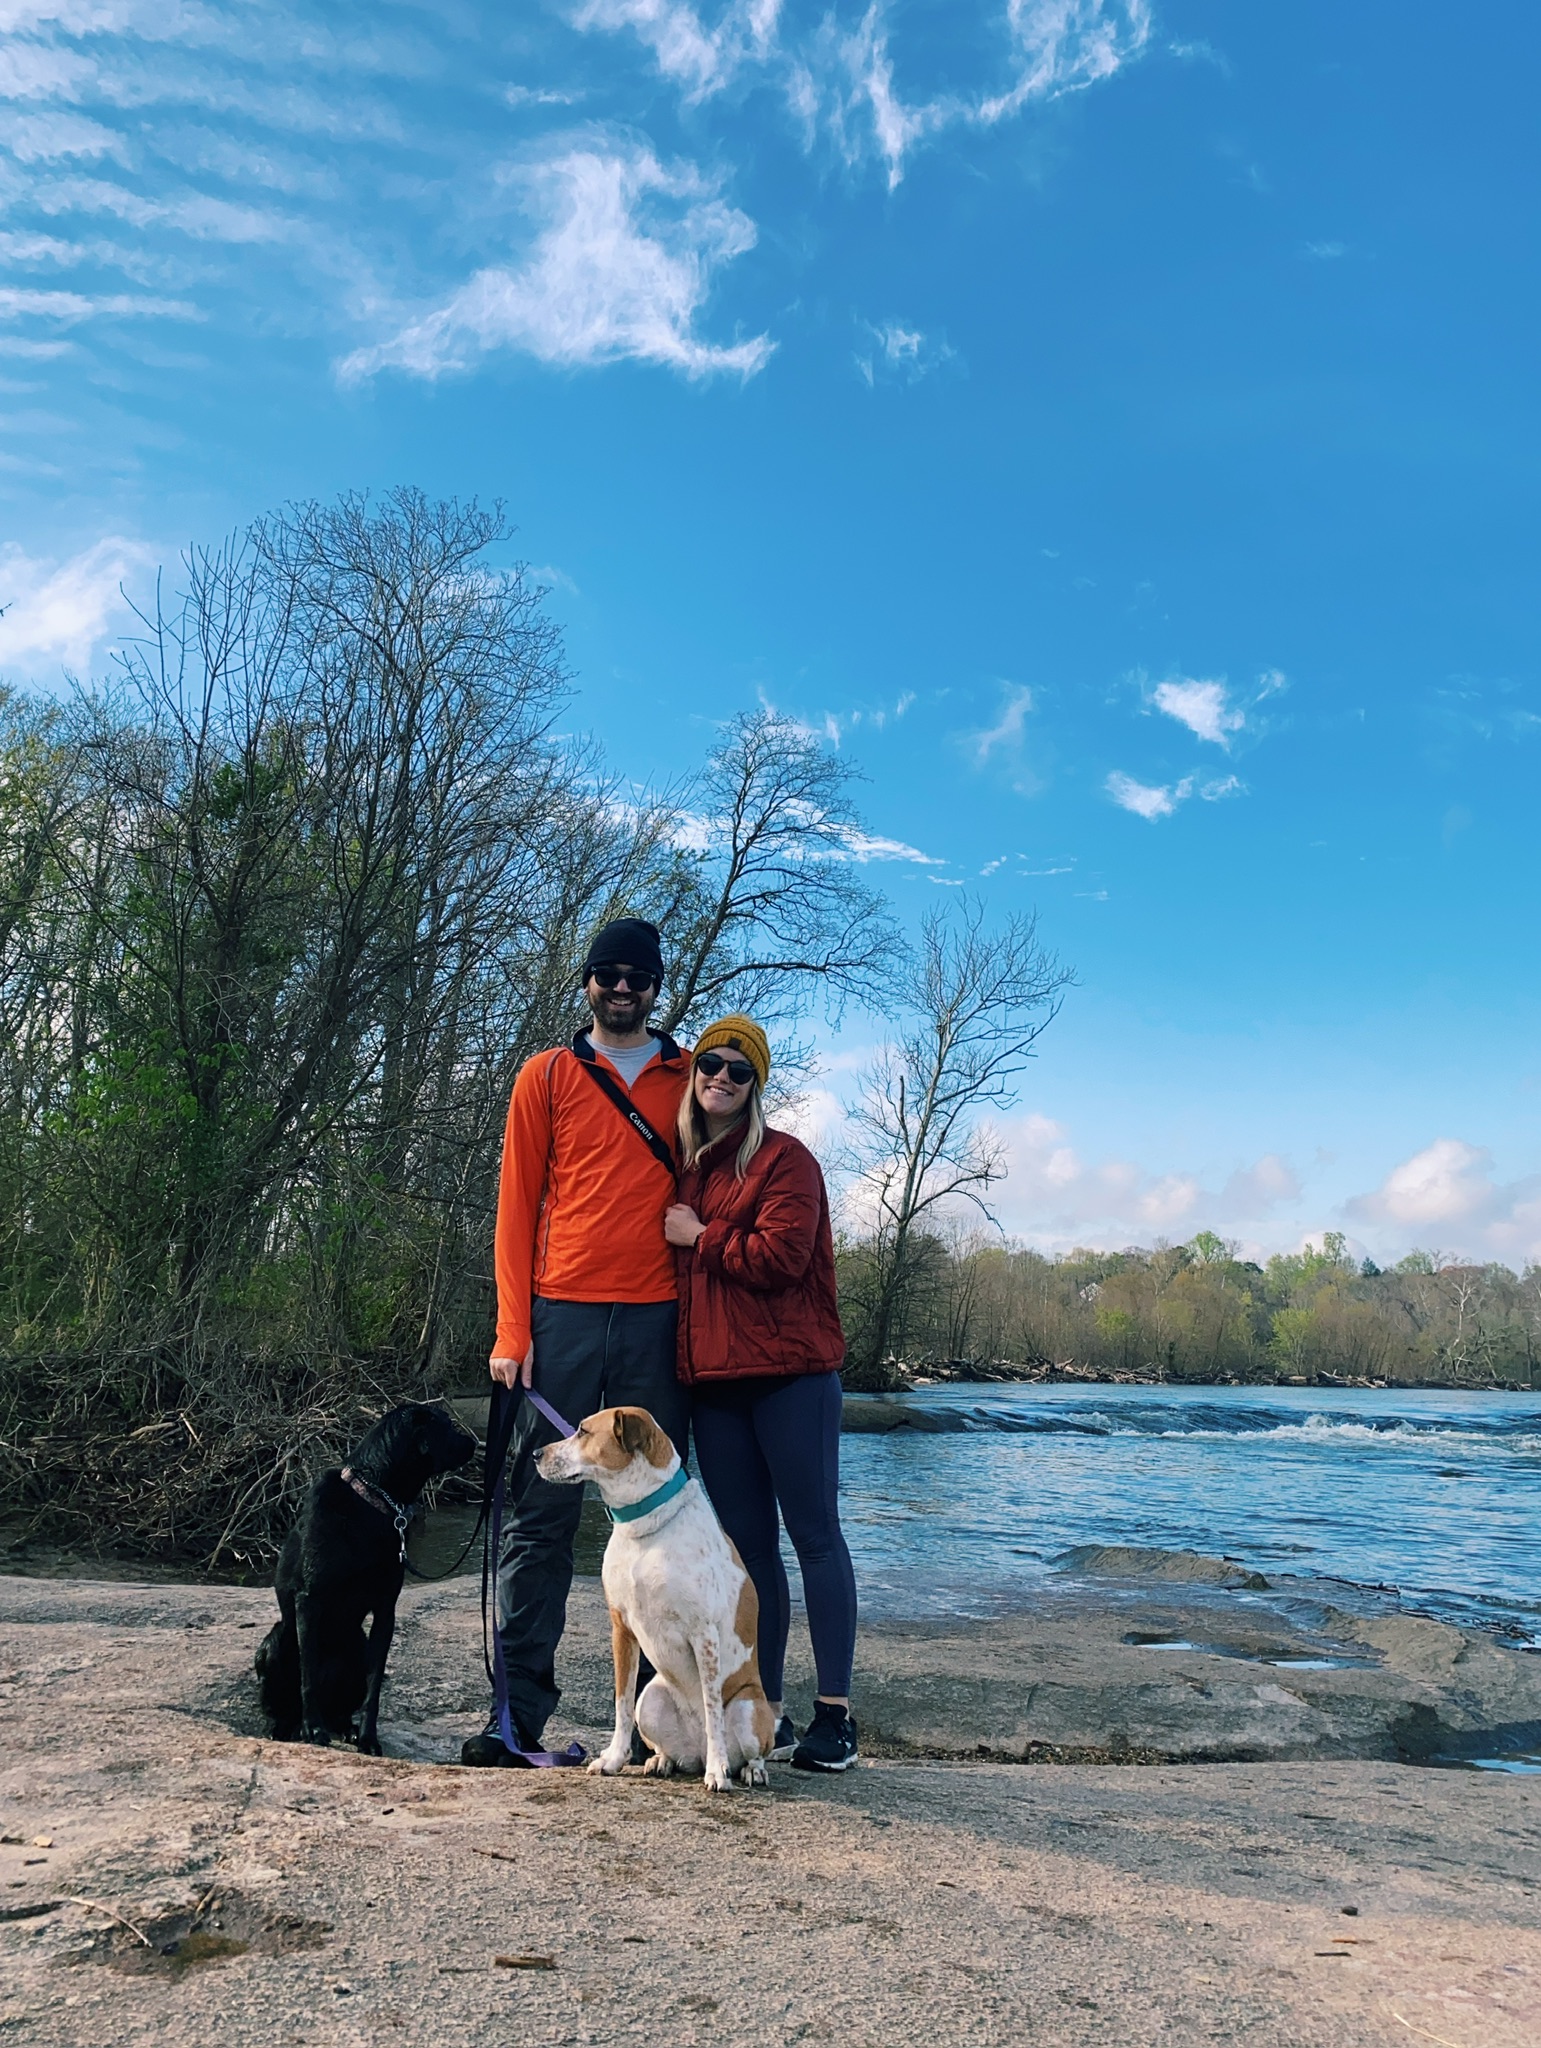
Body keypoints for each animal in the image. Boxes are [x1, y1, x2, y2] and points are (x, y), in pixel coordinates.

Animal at [254, 1400, 475, 1753]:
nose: (475, 1443)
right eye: (448, 1425)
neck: (372, 1500)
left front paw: (368, 1738)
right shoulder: (309, 1600)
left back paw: (346, 1728)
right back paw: (287, 1726)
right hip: (275, 1642)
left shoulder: (386, 1610)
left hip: (357, 1650)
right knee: (285, 1704)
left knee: (343, 1709)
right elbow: (307, 1675)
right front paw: (313, 1730)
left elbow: (374, 1689)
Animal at [536, 1409, 774, 1794]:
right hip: (651, 1699)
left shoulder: (704, 1635)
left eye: (583, 1431)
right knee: (667, 1745)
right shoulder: (621, 1629)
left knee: (747, 1747)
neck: (644, 1527)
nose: (535, 1454)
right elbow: (621, 1704)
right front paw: (613, 1760)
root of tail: (695, 1751)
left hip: (749, 1707)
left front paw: (718, 1772)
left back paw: (745, 1769)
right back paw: (661, 1760)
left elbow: (713, 1711)